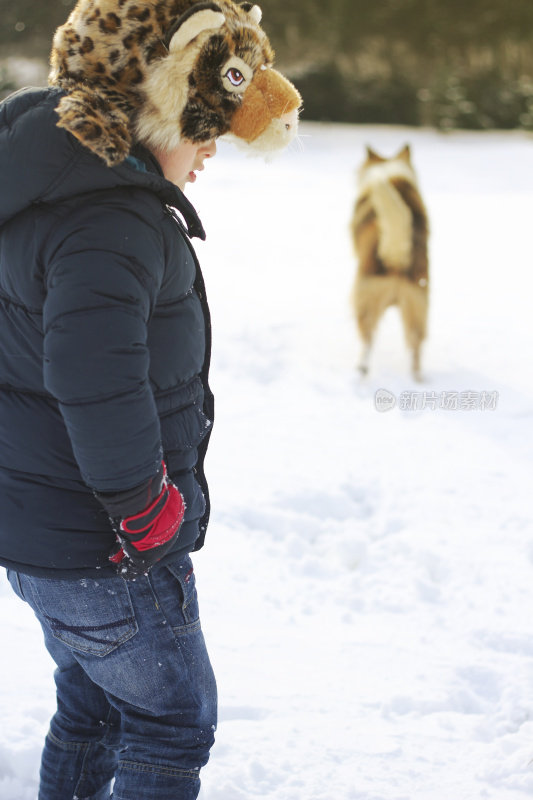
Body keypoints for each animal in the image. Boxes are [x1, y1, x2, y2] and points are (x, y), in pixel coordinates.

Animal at [350, 146, 428, 382]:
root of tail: (397, 258)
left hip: (366, 301)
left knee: (368, 340)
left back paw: (361, 371)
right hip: (417, 305)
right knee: (415, 347)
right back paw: (417, 380)